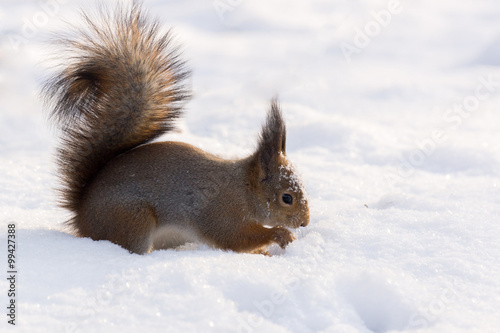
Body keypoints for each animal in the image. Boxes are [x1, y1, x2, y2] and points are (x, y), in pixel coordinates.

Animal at [43, 2, 308, 254]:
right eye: (286, 197)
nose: (305, 222)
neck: (244, 190)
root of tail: (81, 216)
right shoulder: (221, 211)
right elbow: (234, 238)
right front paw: (279, 234)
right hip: (133, 219)